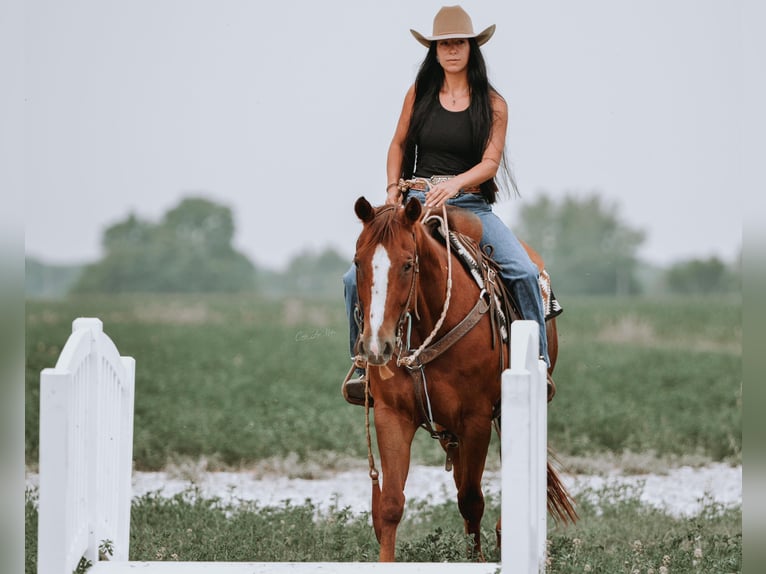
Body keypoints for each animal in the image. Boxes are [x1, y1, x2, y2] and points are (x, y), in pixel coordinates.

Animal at [354, 197, 576, 564]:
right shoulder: (392, 415)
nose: (376, 346)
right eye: (357, 263)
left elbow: (471, 498)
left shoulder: (476, 420)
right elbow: (391, 504)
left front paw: (479, 559)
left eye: (407, 264)